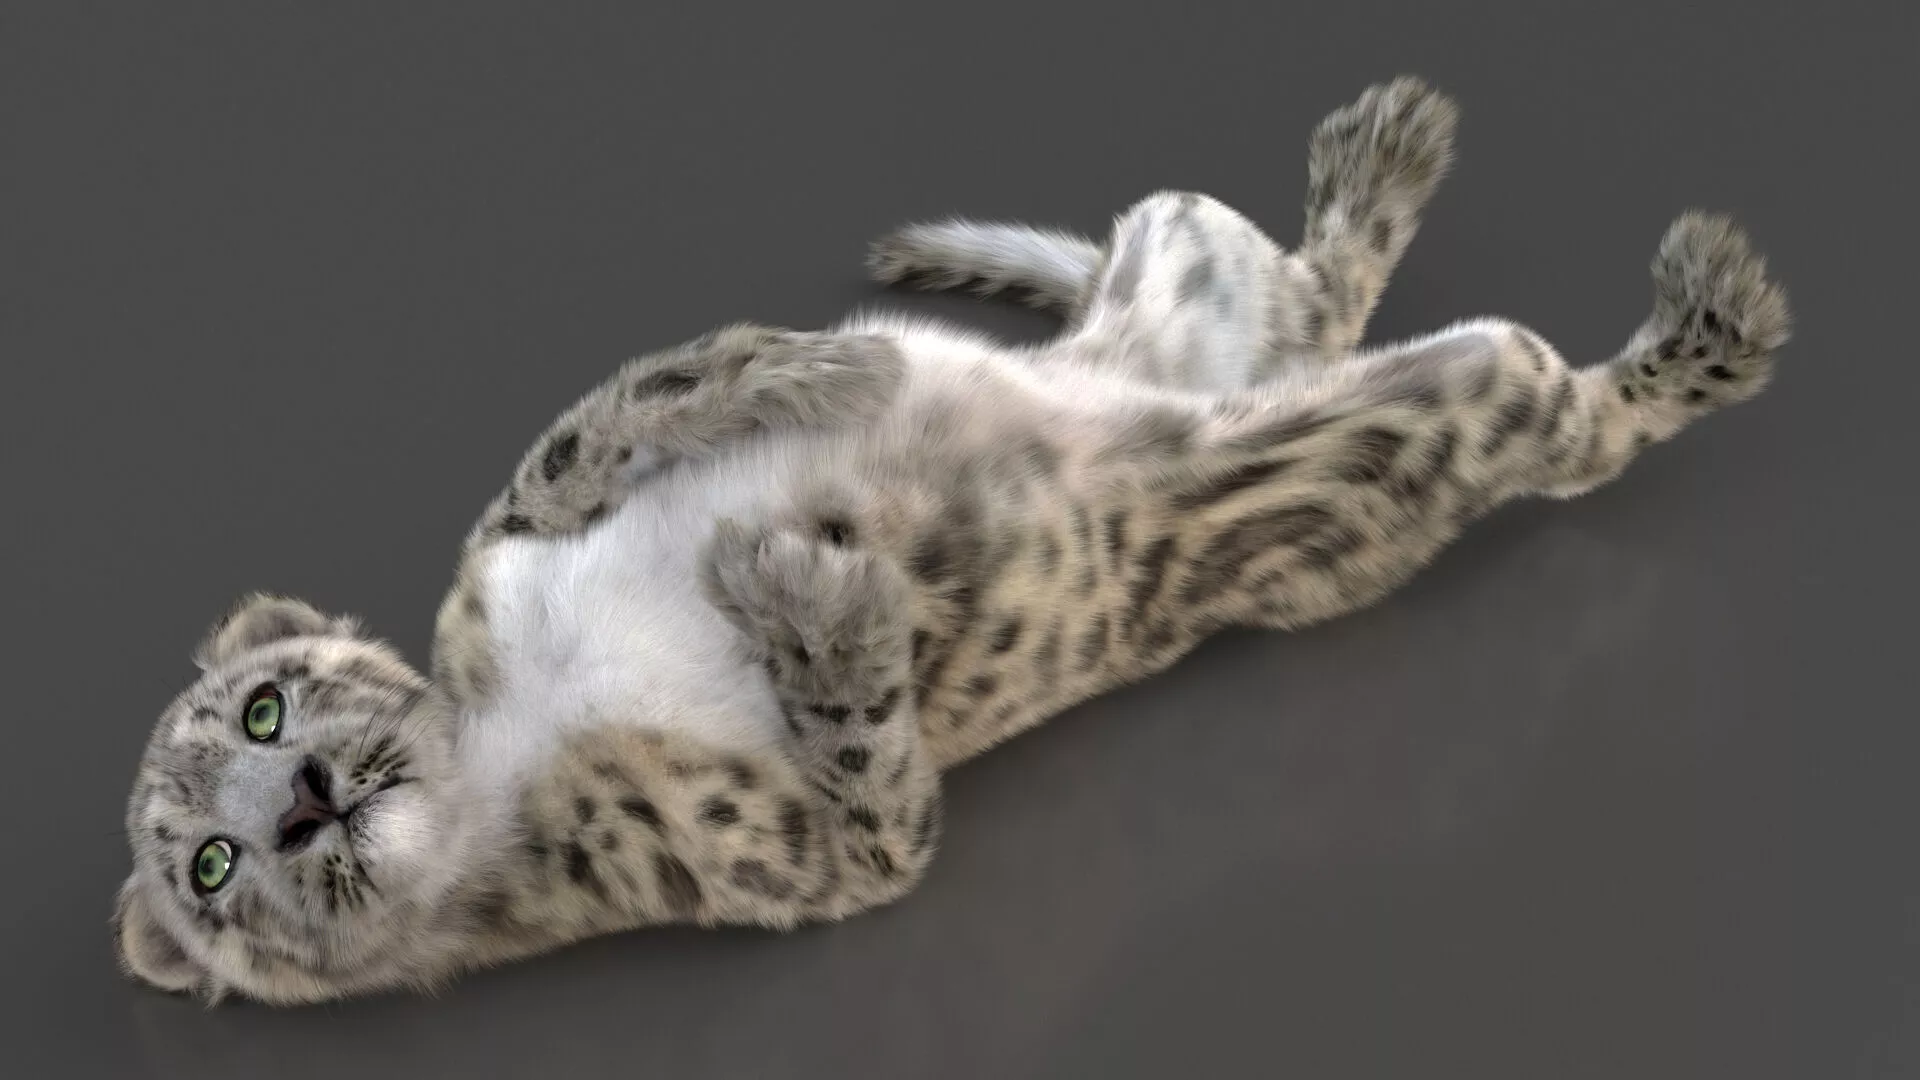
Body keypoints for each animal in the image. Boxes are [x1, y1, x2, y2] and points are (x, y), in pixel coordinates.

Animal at [113, 77, 1791, 1004]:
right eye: (208, 864)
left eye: (264, 707)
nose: (302, 803)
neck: (501, 749)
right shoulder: (801, 861)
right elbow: (870, 770)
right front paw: (812, 588)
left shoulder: (502, 548)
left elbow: (585, 431)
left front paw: (819, 376)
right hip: (1432, 416)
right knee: (1561, 409)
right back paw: (1716, 305)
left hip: (1188, 242)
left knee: (1316, 275)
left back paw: (1390, 141)